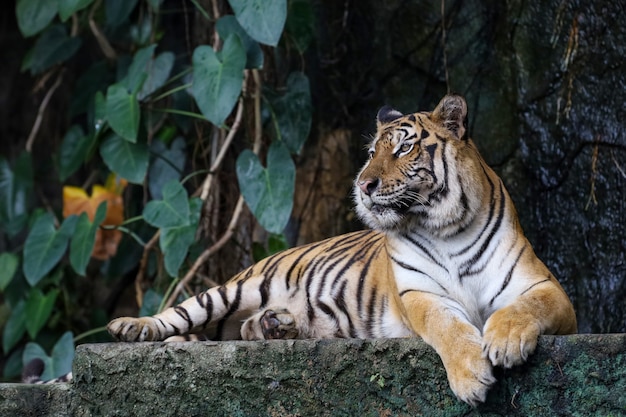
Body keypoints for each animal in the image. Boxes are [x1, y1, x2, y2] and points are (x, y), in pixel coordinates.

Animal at [106, 93, 576, 404]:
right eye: (371, 152)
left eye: (404, 147)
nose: (362, 185)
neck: (448, 229)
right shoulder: (420, 295)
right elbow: (447, 326)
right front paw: (471, 376)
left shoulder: (548, 288)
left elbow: (525, 307)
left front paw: (507, 339)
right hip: (235, 289)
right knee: (180, 314)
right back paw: (131, 327)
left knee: (242, 328)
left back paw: (276, 325)